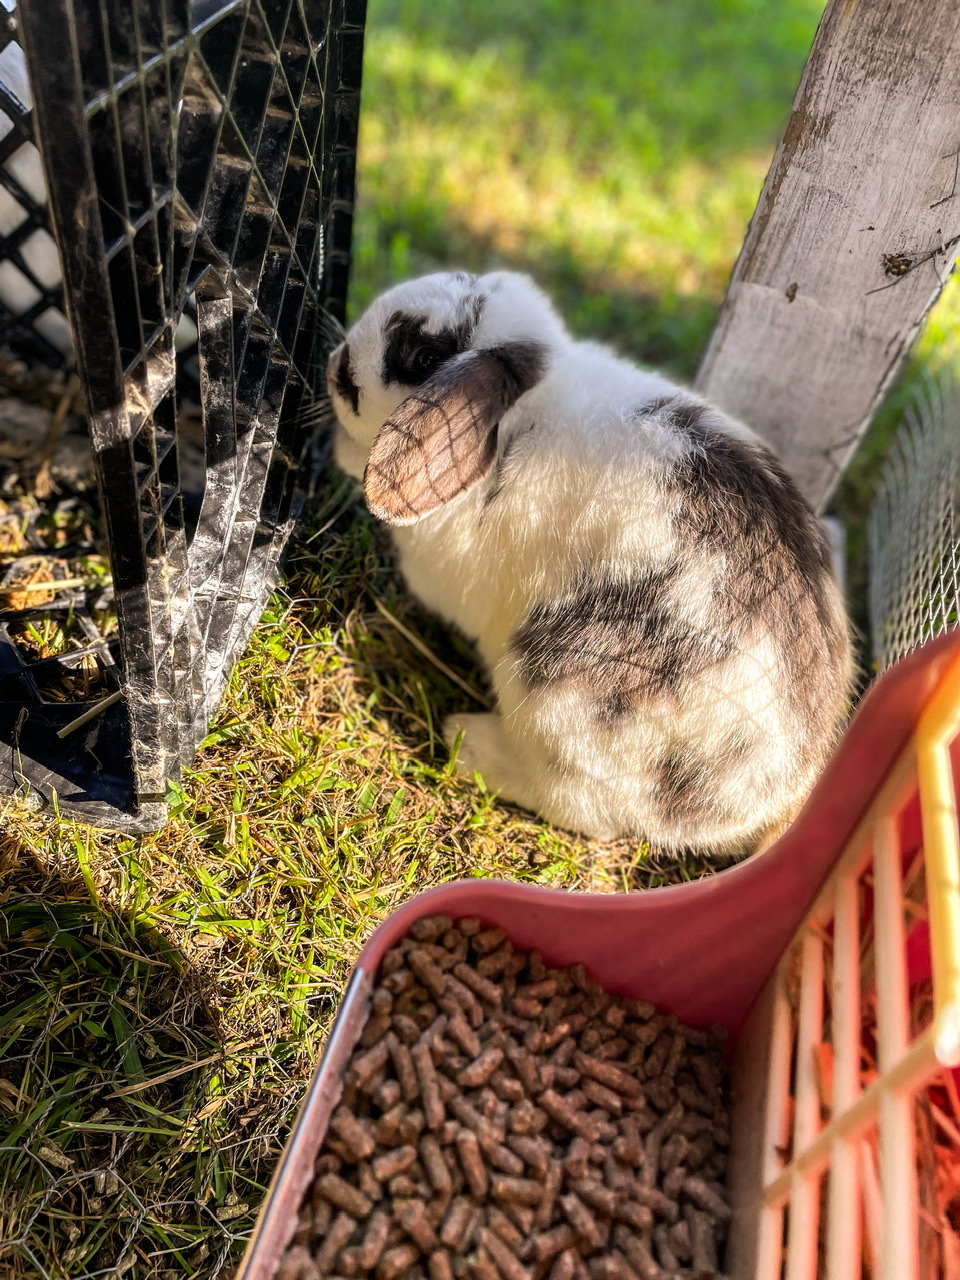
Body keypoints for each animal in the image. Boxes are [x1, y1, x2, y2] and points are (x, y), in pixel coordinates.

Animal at [326, 270, 853, 859]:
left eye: (421, 356)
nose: (336, 363)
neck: (525, 417)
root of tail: (770, 801)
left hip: (555, 702)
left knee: (580, 812)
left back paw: (468, 740)